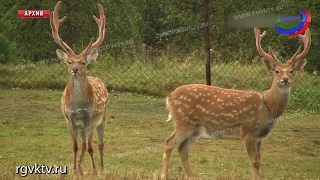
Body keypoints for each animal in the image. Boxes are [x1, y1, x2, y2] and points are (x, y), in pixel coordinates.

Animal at [50, 0, 107, 174]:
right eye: (69, 61)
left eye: (83, 62)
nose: (75, 69)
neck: (79, 104)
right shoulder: (70, 119)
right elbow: (75, 146)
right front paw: (75, 169)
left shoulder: (89, 119)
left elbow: (90, 147)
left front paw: (94, 170)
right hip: (81, 126)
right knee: (82, 143)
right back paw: (81, 167)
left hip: (102, 118)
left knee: (100, 144)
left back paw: (102, 168)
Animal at [161, 27, 312, 179]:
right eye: (277, 71)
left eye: (292, 71)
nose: (285, 80)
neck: (268, 106)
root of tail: (169, 97)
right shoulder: (248, 132)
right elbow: (254, 161)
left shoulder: (259, 137)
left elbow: (259, 161)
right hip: (184, 122)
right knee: (168, 143)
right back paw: (164, 176)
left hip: (195, 129)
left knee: (182, 149)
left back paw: (191, 176)